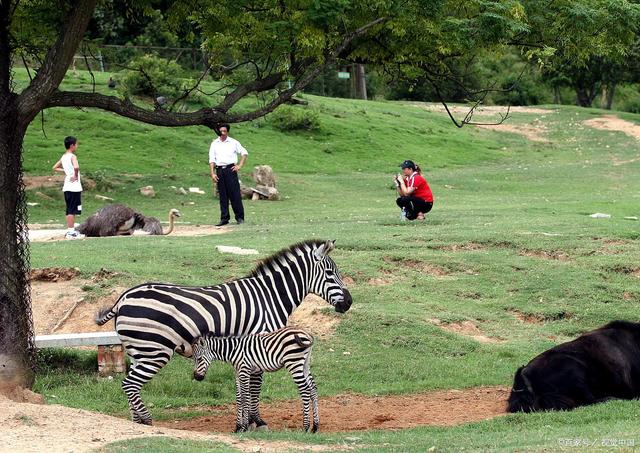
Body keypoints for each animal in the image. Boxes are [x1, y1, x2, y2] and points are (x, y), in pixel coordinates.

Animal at [95, 238, 352, 426]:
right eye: (331, 274)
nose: (349, 303)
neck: (269, 296)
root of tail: (123, 299)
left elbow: (250, 387)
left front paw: (250, 421)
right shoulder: (260, 343)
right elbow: (256, 386)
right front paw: (256, 421)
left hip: (138, 351)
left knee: (132, 385)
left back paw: (136, 422)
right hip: (154, 351)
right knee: (129, 384)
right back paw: (147, 420)